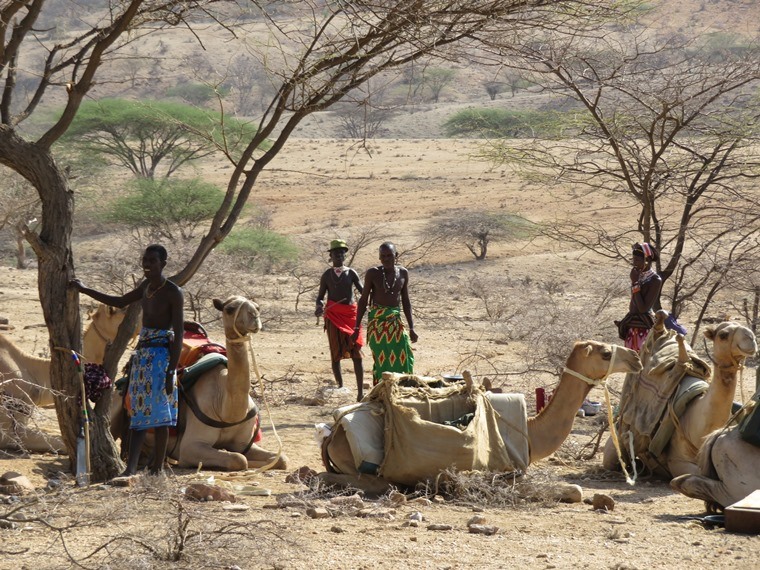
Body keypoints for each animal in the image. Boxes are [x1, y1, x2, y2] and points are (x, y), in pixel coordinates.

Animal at [318, 338, 640, 492]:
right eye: (605, 354)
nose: (635, 358)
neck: (530, 432)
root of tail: (334, 432)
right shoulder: (510, 473)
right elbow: (572, 489)